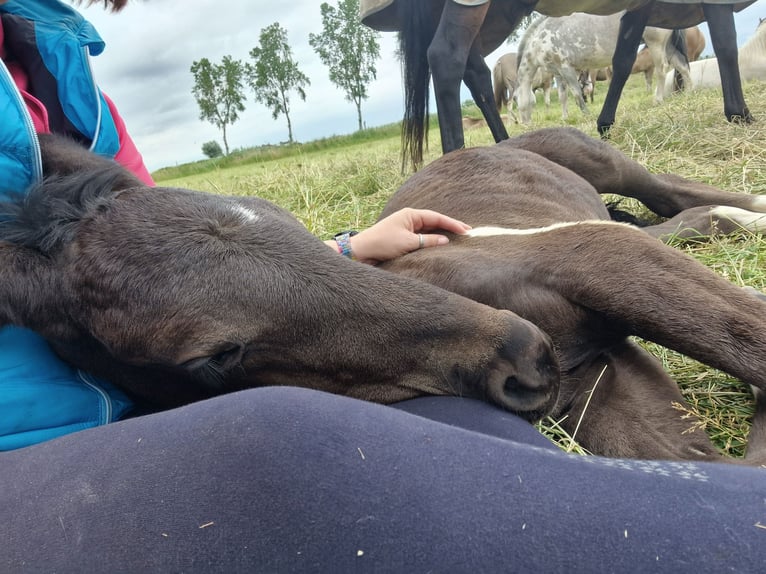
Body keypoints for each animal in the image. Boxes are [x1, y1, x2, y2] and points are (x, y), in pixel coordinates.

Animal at [0, 128, 764, 466]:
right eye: (212, 357)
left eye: (282, 220)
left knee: (669, 194)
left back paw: (746, 209)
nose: (524, 352)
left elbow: (743, 335)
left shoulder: (594, 260)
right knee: (669, 218)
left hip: (599, 161)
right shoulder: (607, 399)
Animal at [360, 0, 756, 169]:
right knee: (449, 58)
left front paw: (599, 123)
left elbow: (616, 63)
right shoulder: (562, 68)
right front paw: (740, 114)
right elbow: (724, 41)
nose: (526, 124)